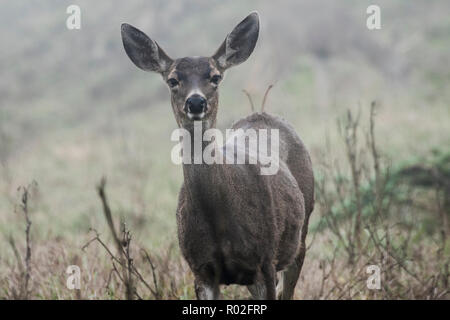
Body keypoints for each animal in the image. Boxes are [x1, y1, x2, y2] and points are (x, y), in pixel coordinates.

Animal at [121, 10, 314, 300]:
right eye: (173, 80)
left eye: (215, 76)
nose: (196, 102)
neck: (219, 218)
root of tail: (263, 114)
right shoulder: (201, 269)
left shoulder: (264, 261)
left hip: (301, 232)